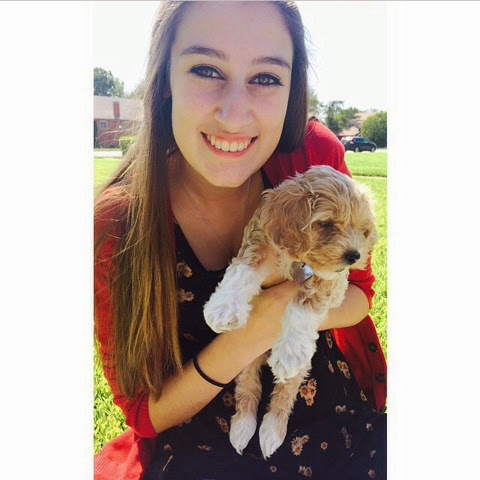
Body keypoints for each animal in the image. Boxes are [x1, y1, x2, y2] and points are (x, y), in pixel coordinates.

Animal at [204, 165, 378, 459]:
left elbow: (304, 305)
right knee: (247, 383)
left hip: (299, 369)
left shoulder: (331, 283)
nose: (354, 256)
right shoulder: (260, 241)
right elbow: (243, 270)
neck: (298, 258)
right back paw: (242, 427)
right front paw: (223, 308)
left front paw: (290, 351)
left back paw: (271, 431)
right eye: (326, 223)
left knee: (286, 388)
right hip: (245, 356)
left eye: (361, 229)